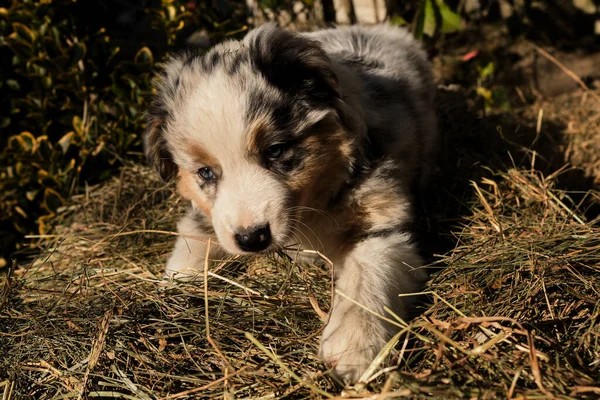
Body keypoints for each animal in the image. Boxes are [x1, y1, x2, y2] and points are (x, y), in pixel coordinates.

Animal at [144, 22, 436, 384]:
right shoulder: (210, 218)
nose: (251, 239)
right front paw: (170, 289)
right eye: (206, 172)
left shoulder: (383, 221)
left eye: (276, 150)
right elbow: (191, 246)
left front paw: (353, 344)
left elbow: (369, 272)